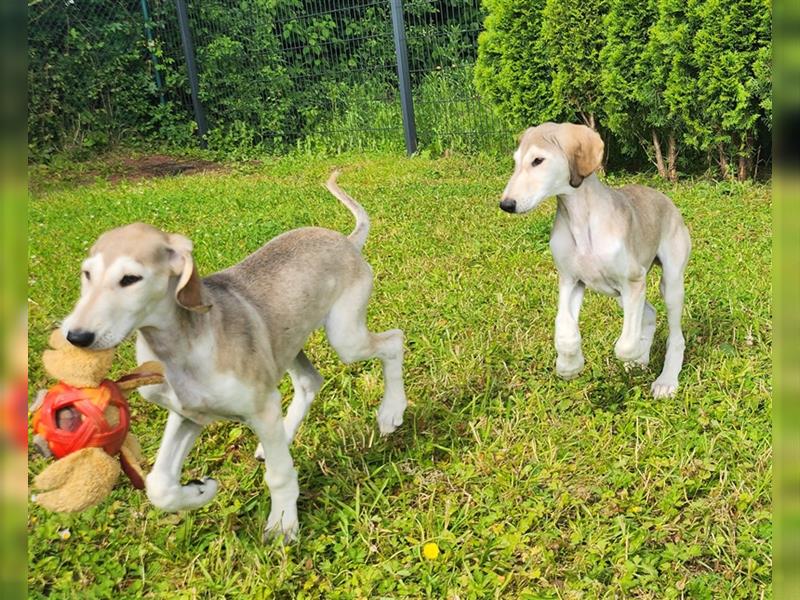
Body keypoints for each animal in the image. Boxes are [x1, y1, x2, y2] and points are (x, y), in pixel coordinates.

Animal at [60, 171, 406, 540]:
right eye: (86, 274)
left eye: (130, 279)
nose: (76, 337)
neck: (179, 348)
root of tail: (347, 241)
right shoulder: (188, 414)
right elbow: (160, 485)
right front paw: (200, 490)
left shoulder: (261, 408)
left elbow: (280, 475)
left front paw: (283, 525)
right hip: (285, 342)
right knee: (310, 382)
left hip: (346, 338)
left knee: (394, 341)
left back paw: (391, 411)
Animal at [496, 122, 692, 396]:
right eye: (515, 161)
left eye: (538, 160)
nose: (506, 204)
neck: (581, 220)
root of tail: (664, 197)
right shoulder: (571, 281)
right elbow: (564, 329)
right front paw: (569, 365)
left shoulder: (633, 281)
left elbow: (625, 345)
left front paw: (636, 354)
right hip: (622, 295)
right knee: (650, 313)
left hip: (670, 283)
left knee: (675, 336)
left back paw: (666, 379)